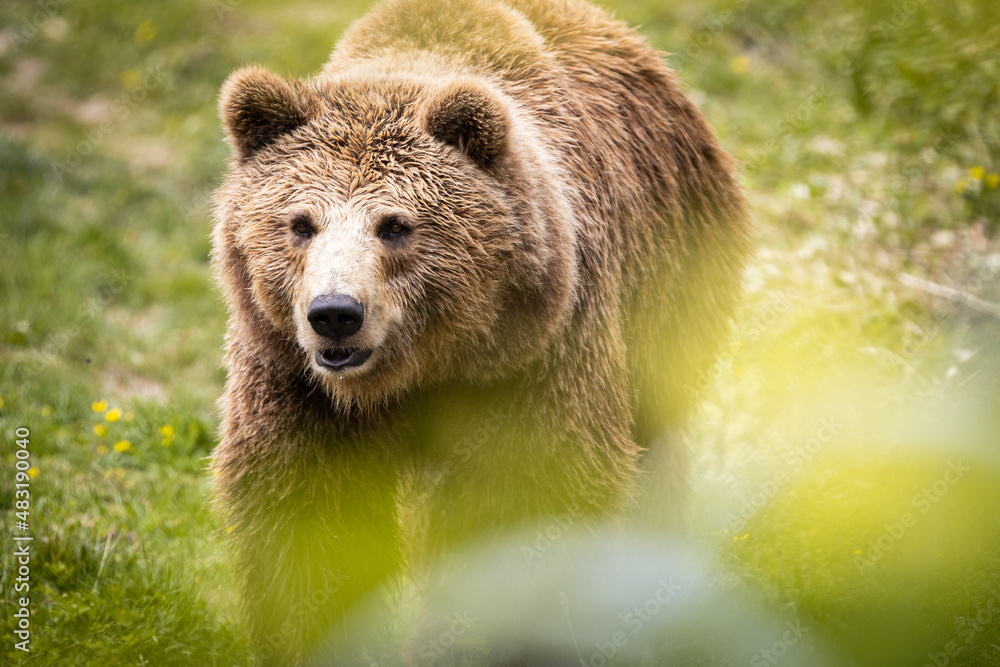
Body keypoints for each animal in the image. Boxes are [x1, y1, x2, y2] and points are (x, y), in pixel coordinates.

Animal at [210, 0, 750, 664]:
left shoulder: (535, 357)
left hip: (670, 290)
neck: (421, 369)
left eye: (395, 225)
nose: (335, 312)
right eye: (300, 223)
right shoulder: (293, 377)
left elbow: (526, 510)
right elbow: (308, 521)